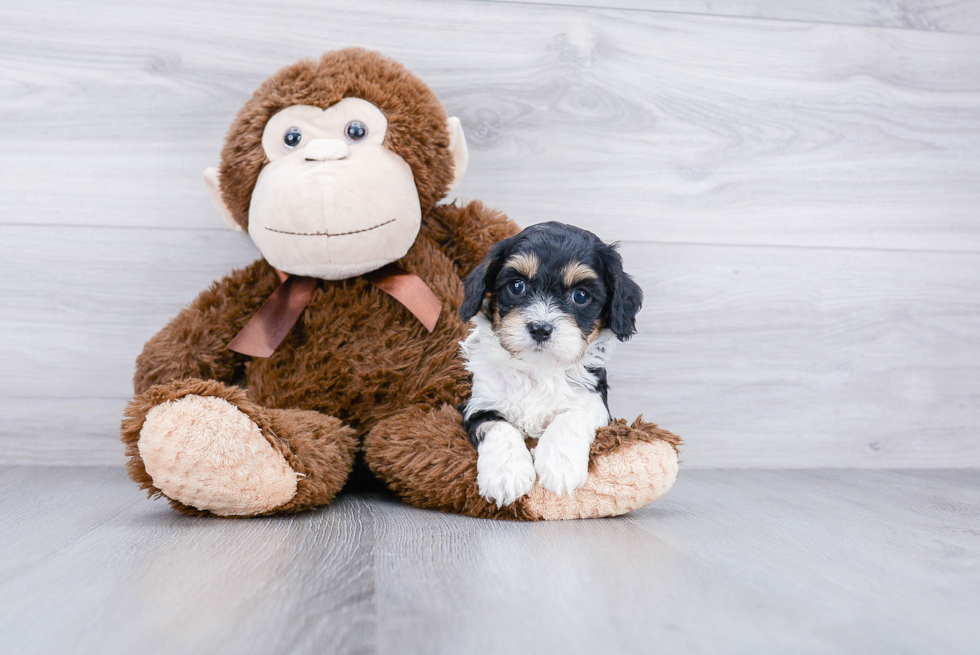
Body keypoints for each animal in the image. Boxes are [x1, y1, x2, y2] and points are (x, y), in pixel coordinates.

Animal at [460, 222, 644, 508]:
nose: (540, 328)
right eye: (517, 286)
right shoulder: (478, 402)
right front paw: (506, 474)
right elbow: (497, 425)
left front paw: (560, 466)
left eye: (580, 295)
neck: (538, 369)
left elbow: (572, 416)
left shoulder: (596, 405)